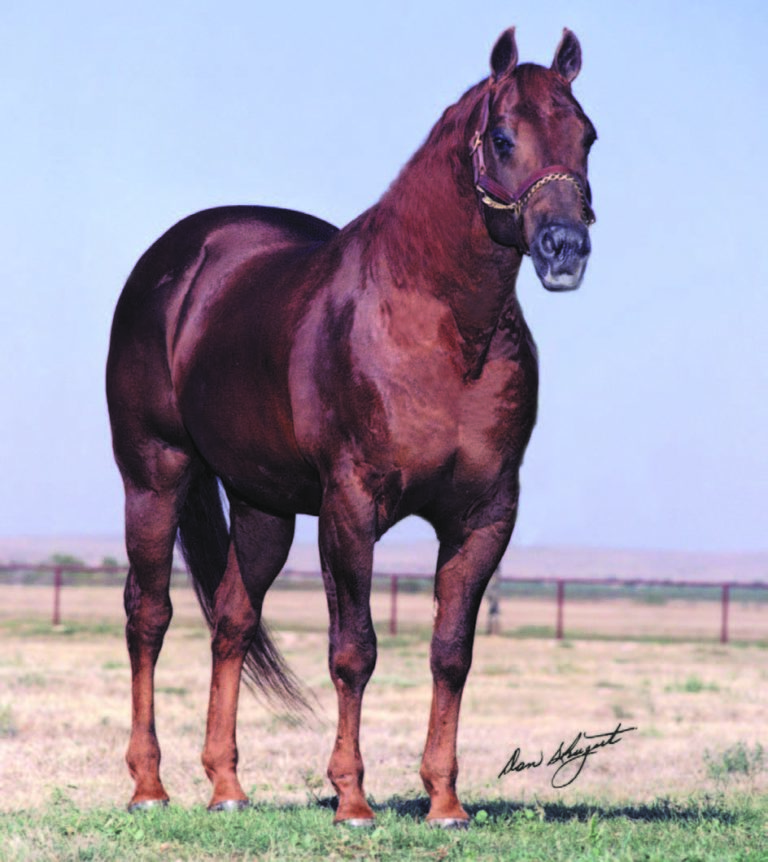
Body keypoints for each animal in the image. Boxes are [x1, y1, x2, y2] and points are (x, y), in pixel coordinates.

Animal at [106, 26, 596, 827]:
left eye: (587, 135)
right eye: (502, 137)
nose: (565, 249)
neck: (440, 328)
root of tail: (178, 259)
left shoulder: (486, 515)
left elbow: (451, 651)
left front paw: (445, 801)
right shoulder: (351, 507)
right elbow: (354, 649)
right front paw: (354, 800)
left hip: (264, 506)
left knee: (232, 621)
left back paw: (227, 789)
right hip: (155, 476)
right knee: (149, 616)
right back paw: (150, 786)